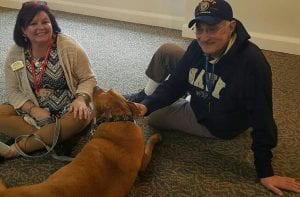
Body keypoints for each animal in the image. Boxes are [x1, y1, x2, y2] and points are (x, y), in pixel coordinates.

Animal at [0, 87, 162, 196]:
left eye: (99, 94)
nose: (94, 87)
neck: (120, 120)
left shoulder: (144, 162)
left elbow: (149, 144)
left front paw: (155, 137)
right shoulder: (143, 162)